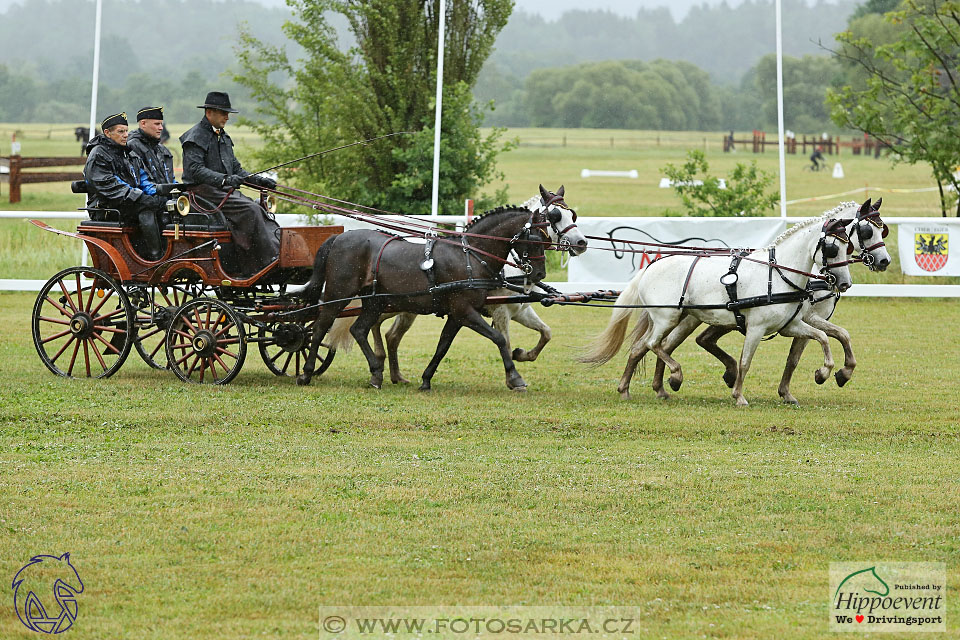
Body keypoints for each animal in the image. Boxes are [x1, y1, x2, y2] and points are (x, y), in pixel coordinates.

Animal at [326, 188, 588, 382]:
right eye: (555, 216)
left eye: (572, 215)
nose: (581, 242)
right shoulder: (498, 311)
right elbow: (503, 339)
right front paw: (512, 375)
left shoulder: (519, 309)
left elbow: (546, 333)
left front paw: (523, 355)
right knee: (377, 328)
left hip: (403, 307)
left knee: (388, 333)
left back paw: (395, 373)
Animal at [576, 205, 864, 404]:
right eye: (832, 248)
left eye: (848, 247)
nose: (844, 282)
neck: (778, 275)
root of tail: (650, 267)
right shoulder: (756, 328)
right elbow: (746, 361)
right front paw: (739, 395)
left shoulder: (790, 325)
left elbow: (823, 338)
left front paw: (826, 373)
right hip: (667, 318)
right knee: (653, 345)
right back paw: (675, 376)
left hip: (673, 319)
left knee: (641, 347)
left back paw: (628, 389)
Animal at [652, 198, 892, 402]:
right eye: (867, 230)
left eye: (883, 229)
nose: (884, 261)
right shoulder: (808, 317)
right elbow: (813, 347)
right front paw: (825, 374)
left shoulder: (798, 321)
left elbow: (836, 337)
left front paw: (840, 374)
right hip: (687, 316)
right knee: (664, 344)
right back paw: (665, 383)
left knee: (695, 341)